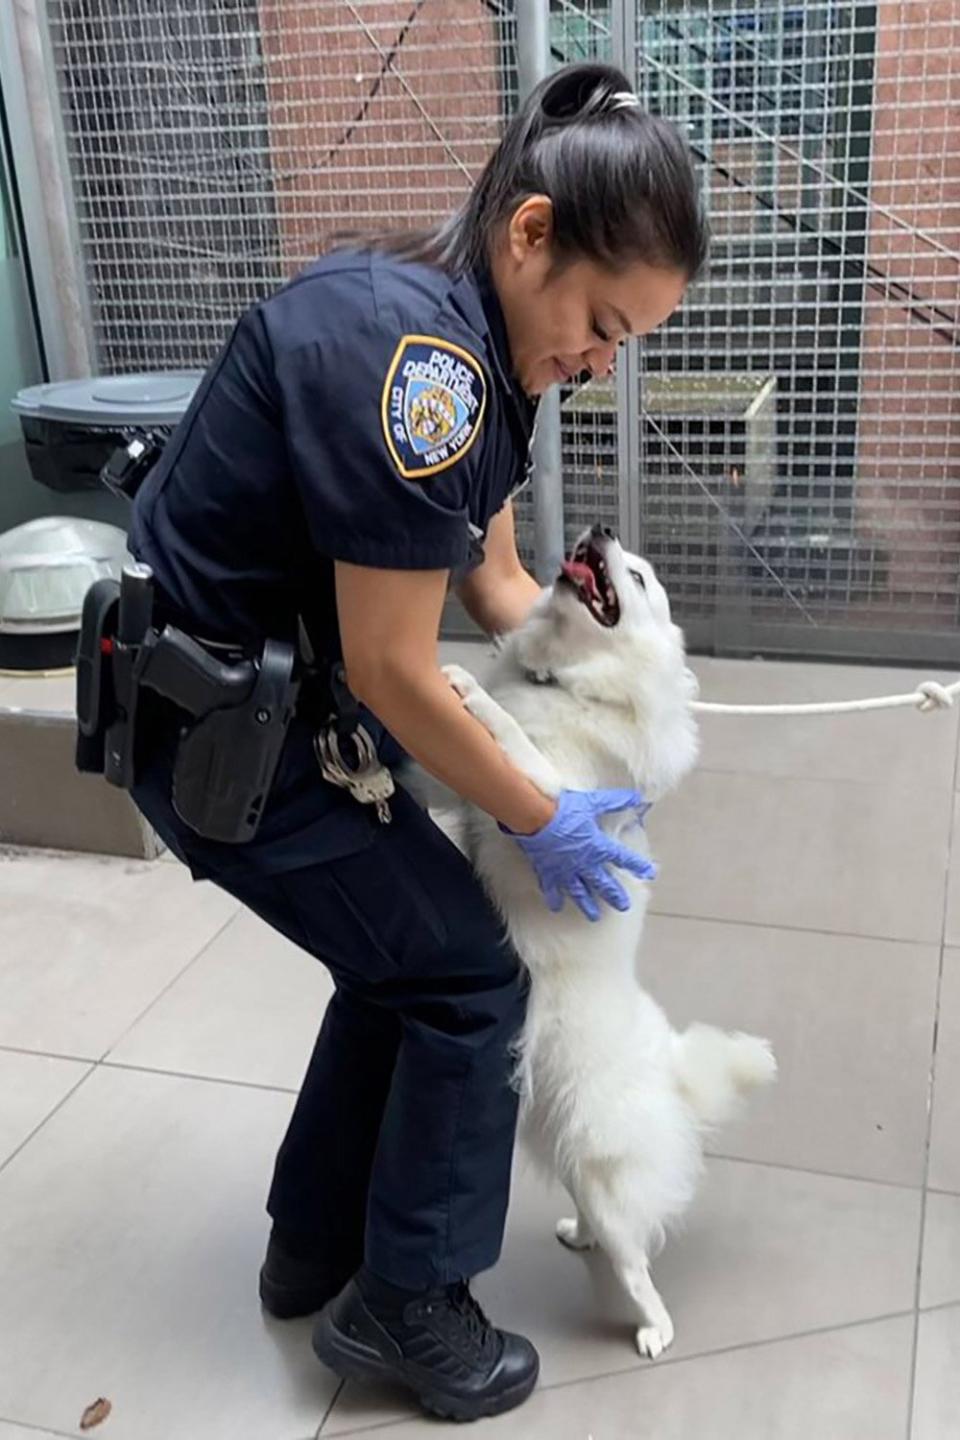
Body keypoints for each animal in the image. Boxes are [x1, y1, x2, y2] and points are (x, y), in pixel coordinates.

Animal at [440, 529, 777, 1359]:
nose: (598, 533)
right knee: (606, 1230)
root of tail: (674, 1079)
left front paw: (468, 689)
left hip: (605, 1174)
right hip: (577, 1161)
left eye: (641, 579)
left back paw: (654, 1329)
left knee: (636, 1264)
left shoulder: (549, 795)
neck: (564, 681)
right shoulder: (475, 793)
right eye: (618, 554)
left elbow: (514, 741)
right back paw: (578, 1235)